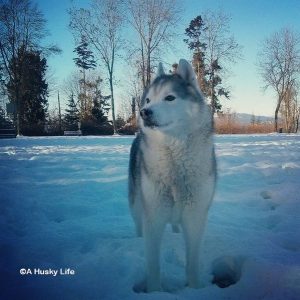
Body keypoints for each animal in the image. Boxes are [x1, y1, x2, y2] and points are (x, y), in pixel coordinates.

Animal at [128, 59, 216, 292]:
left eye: (169, 98)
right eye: (148, 99)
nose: (144, 112)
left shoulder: (195, 216)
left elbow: (192, 262)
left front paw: (194, 288)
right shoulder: (153, 216)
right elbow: (153, 264)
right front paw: (154, 291)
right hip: (135, 202)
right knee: (137, 223)